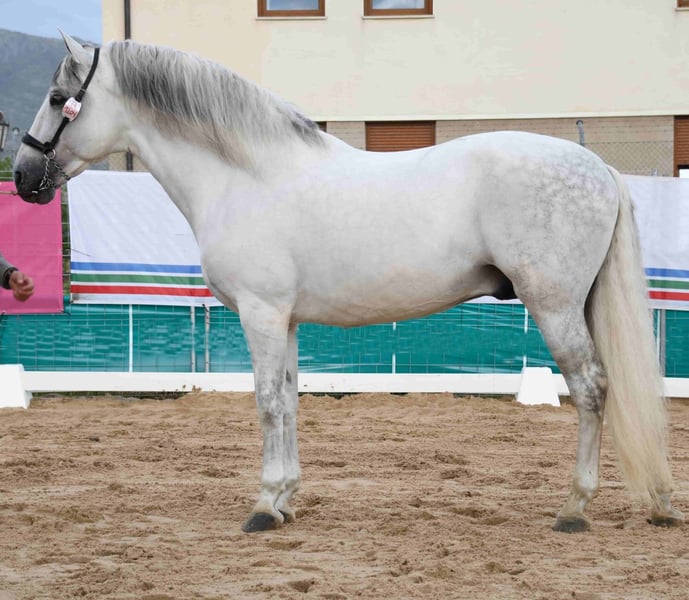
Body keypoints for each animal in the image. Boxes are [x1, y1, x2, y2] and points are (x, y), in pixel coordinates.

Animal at [14, 32, 684, 534]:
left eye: (57, 96)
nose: (22, 176)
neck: (246, 176)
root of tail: (599, 167)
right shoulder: (283, 319)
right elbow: (288, 399)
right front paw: (285, 499)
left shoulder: (259, 313)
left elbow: (266, 402)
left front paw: (263, 506)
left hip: (554, 305)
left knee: (592, 389)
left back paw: (574, 508)